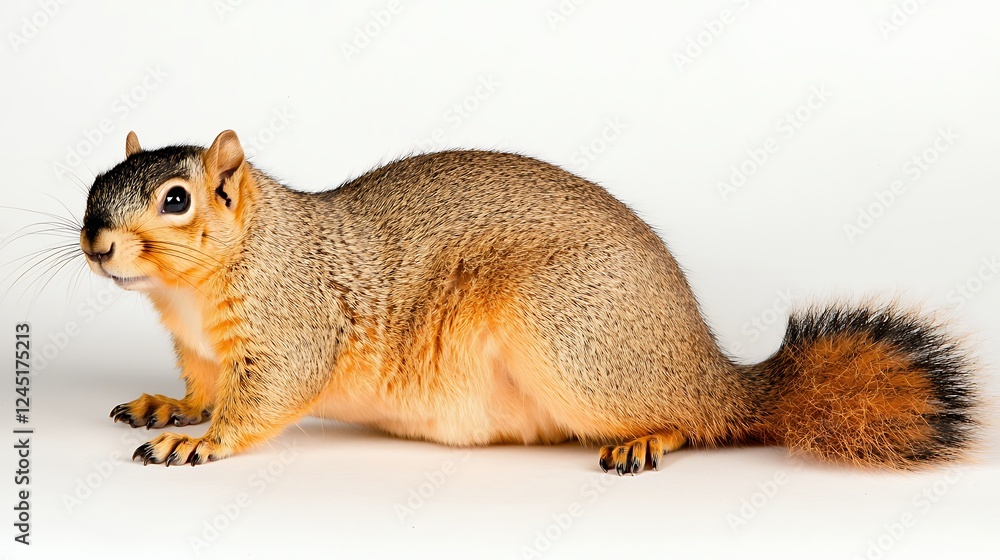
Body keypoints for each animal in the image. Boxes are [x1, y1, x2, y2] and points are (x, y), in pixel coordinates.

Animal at [79, 130, 977, 473]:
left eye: (175, 200)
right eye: (94, 184)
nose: (94, 242)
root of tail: (712, 369)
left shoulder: (294, 319)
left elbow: (264, 396)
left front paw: (199, 443)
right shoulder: (202, 351)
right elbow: (202, 389)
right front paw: (170, 410)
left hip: (571, 337)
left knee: (697, 419)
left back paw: (649, 437)